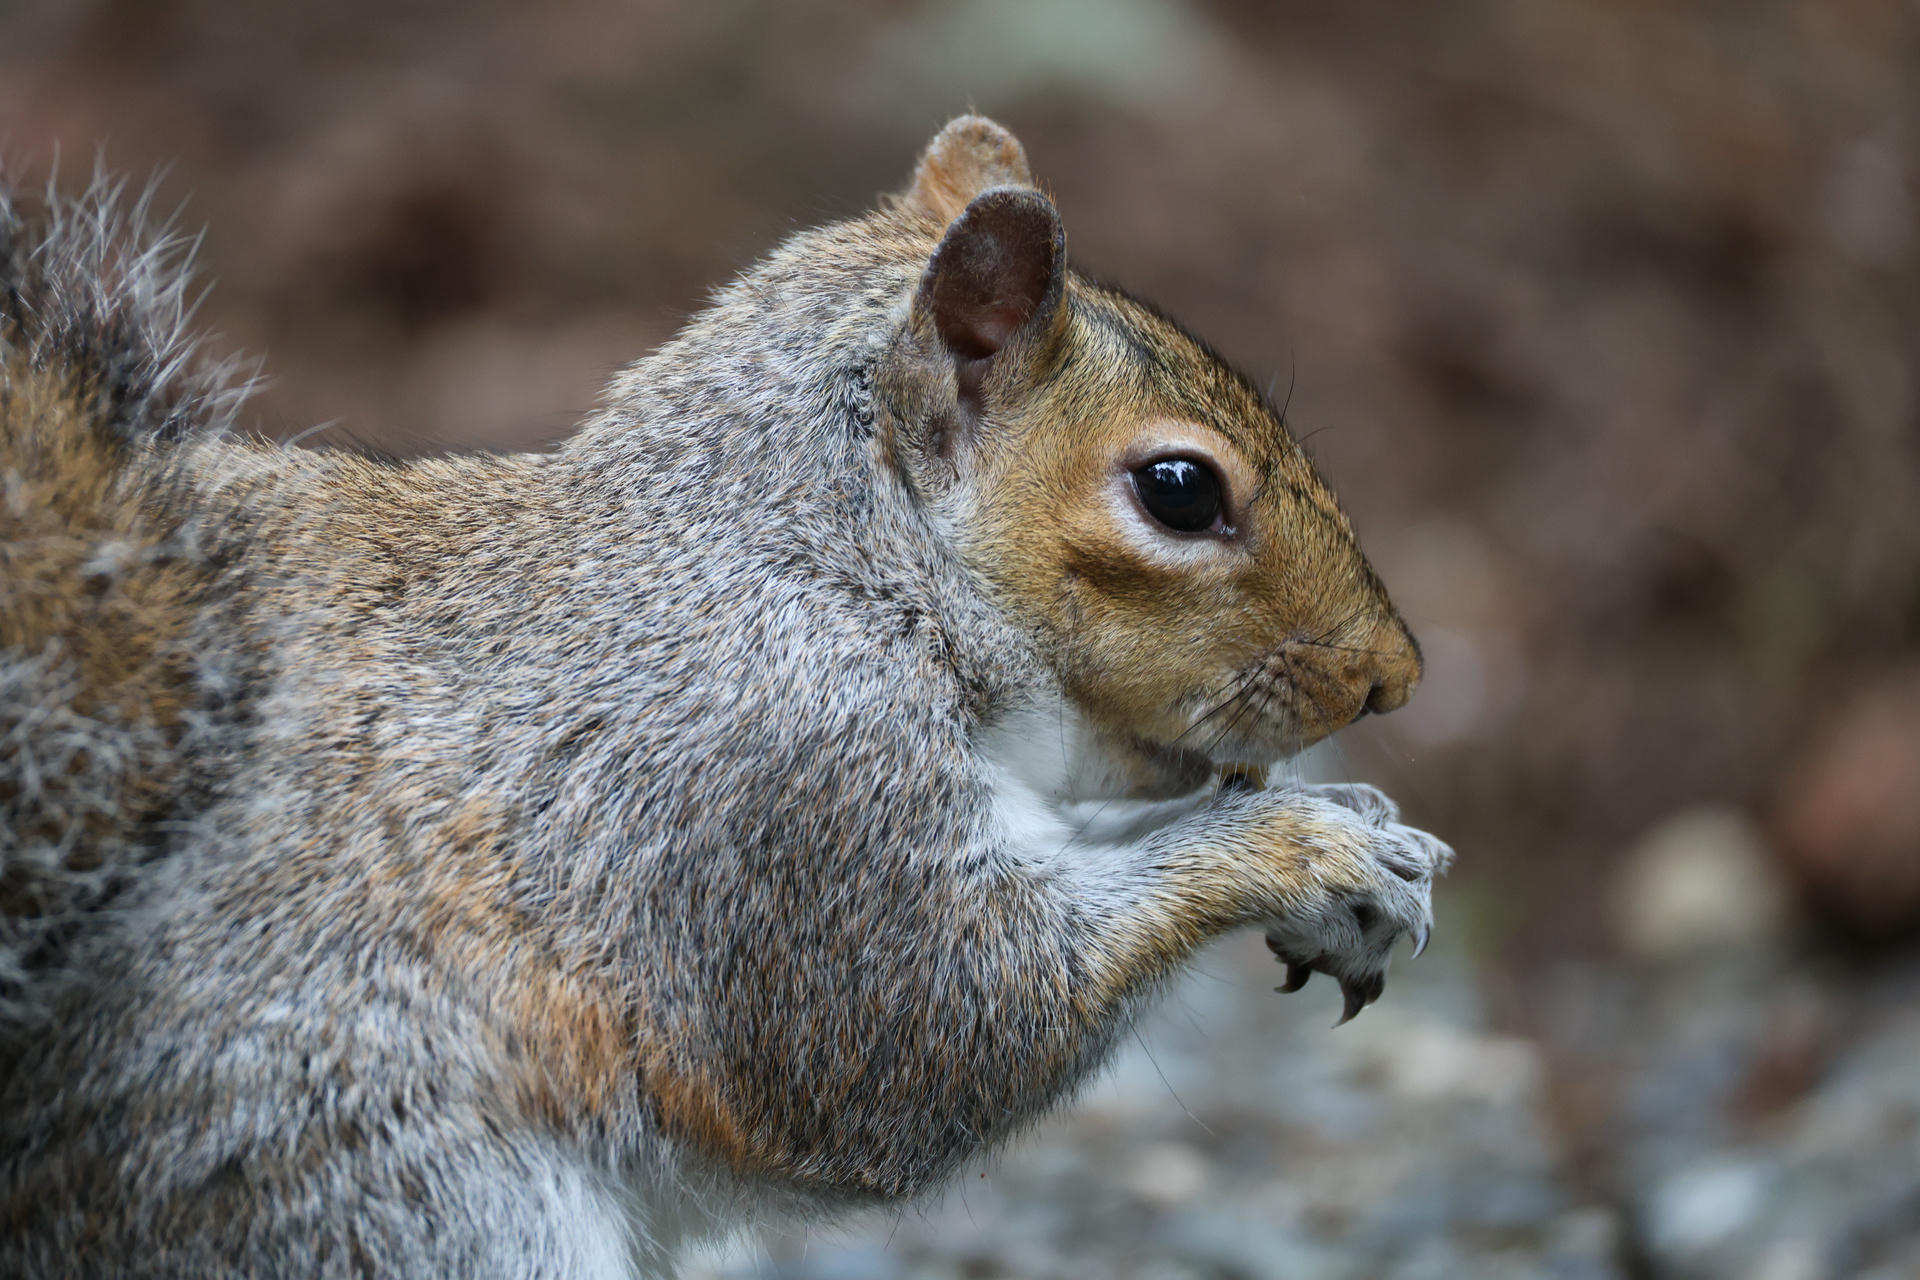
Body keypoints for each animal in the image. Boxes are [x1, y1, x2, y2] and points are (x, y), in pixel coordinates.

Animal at [0, 117, 1451, 1277]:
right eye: (1179, 491)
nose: (1392, 677)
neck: (824, 556)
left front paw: (1359, 836)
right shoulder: (777, 778)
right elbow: (929, 1033)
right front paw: (1298, 846)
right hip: (379, 1190)